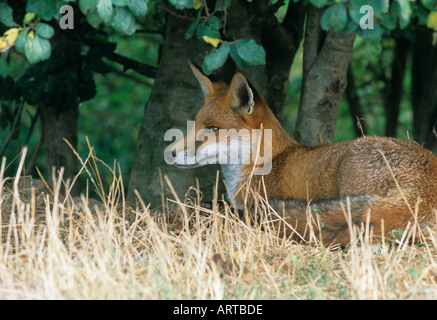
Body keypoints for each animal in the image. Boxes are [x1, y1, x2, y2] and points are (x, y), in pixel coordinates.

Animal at [164, 62, 436, 248]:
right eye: (195, 125)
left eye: (213, 129)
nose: (170, 153)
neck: (263, 163)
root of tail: (424, 190)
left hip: (350, 173)